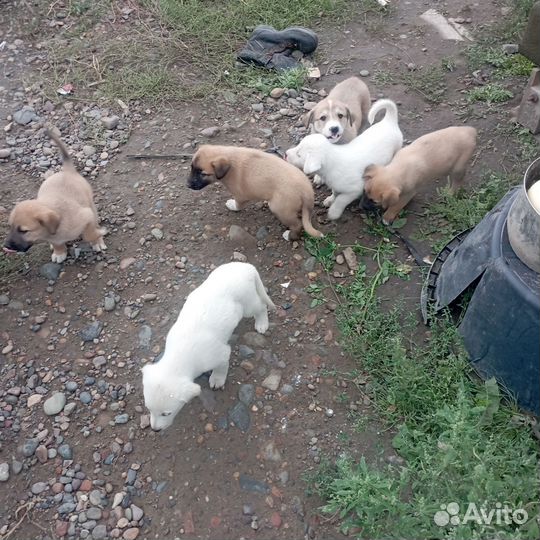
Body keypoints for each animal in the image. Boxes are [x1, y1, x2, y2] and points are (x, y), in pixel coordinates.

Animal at [4, 127, 106, 260]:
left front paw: (97, 240)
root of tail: (67, 171)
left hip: (90, 205)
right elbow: (56, 242)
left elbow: (89, 234)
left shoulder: (86, 215)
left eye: (24, 231)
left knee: (94, 218)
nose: (6, 246)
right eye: (10, 226)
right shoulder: (51, 236)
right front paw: (59, 252)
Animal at [141, 262, 274, 430]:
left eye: (166, 413)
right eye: (148, 408)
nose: (155, 430)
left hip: (248, 303)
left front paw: (217, 380)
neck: (180, 354)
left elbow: (221, 367)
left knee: (261, 307)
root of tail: (247, 267)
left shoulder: (220, 354)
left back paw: (262, 323)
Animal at [188, 146, 322, 243]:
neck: (230, 161)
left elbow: (238, 204)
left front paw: (232, 205)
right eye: (191, 168)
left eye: (203, 174)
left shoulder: (240, 195)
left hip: (280, 208)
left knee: (297, 224)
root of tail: (306, 190)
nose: (188, 185)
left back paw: (289, 236)